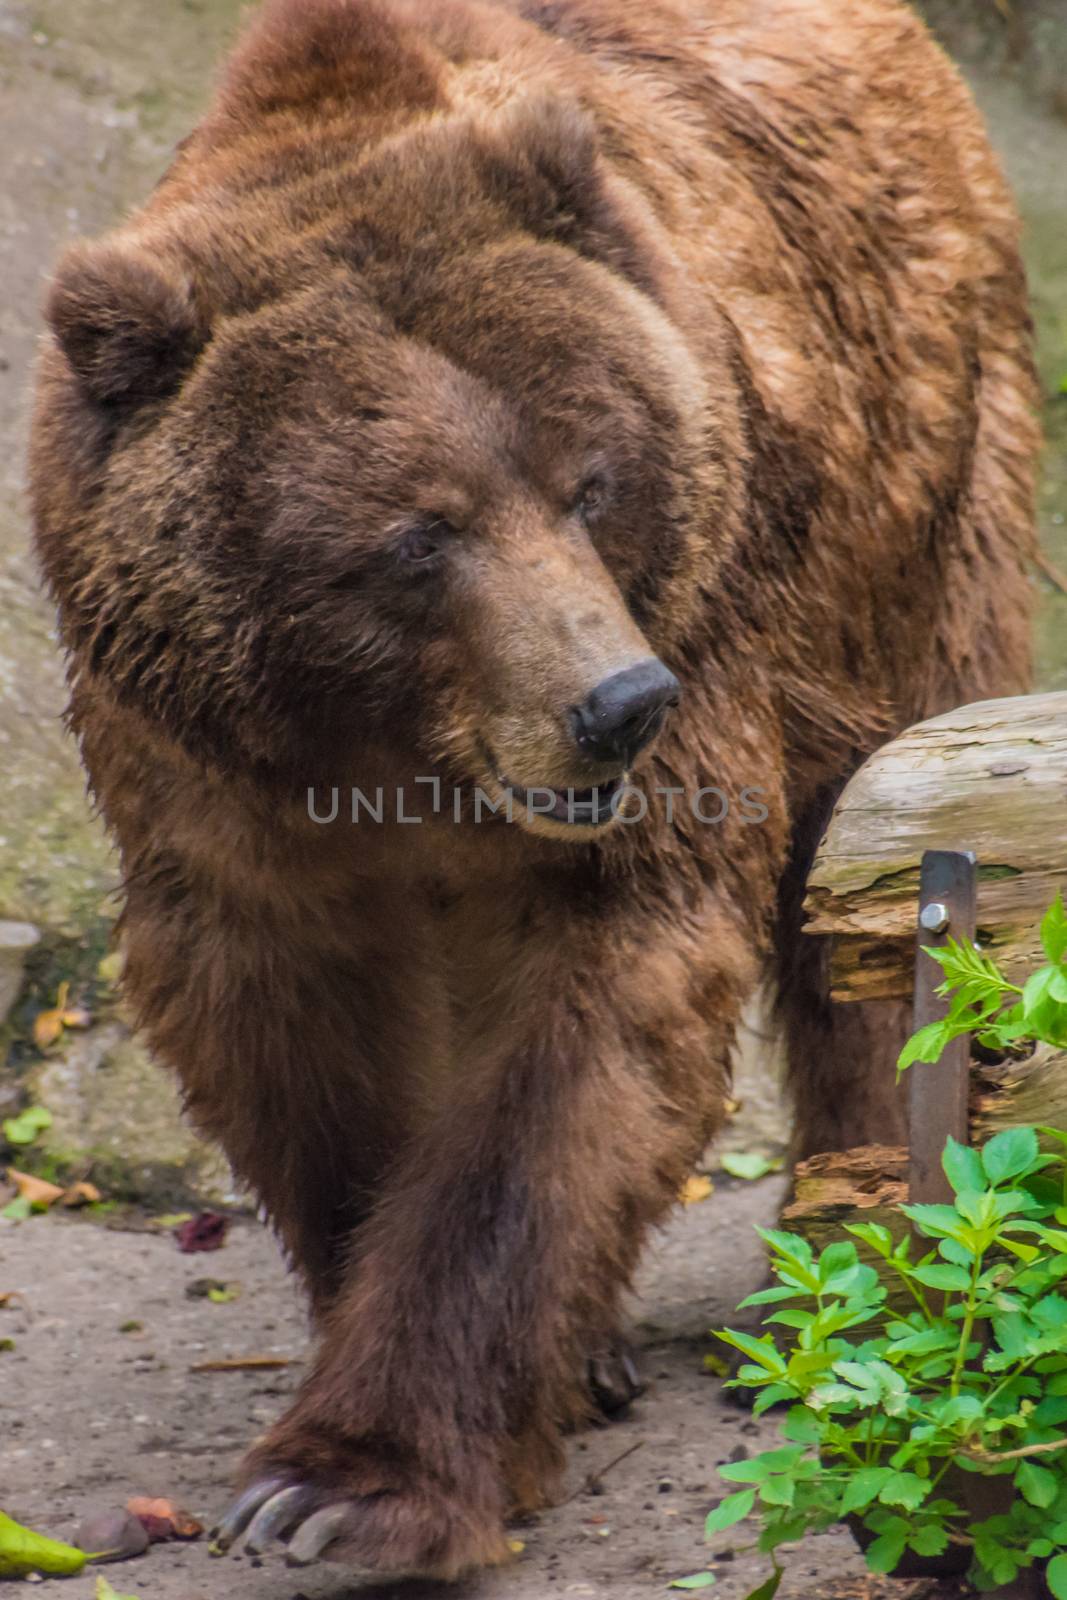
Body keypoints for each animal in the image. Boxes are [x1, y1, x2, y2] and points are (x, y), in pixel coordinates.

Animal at [29, 0, 1036, 1574]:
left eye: (590, 480)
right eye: (413, 536)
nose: (616, 704)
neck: (398, 756)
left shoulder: (694, 663)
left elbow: (587, 1038)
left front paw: (345, 1485)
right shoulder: (216, 781)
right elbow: (295, 1035)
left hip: (907, 508)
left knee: (878, 883)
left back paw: (852, 1237)